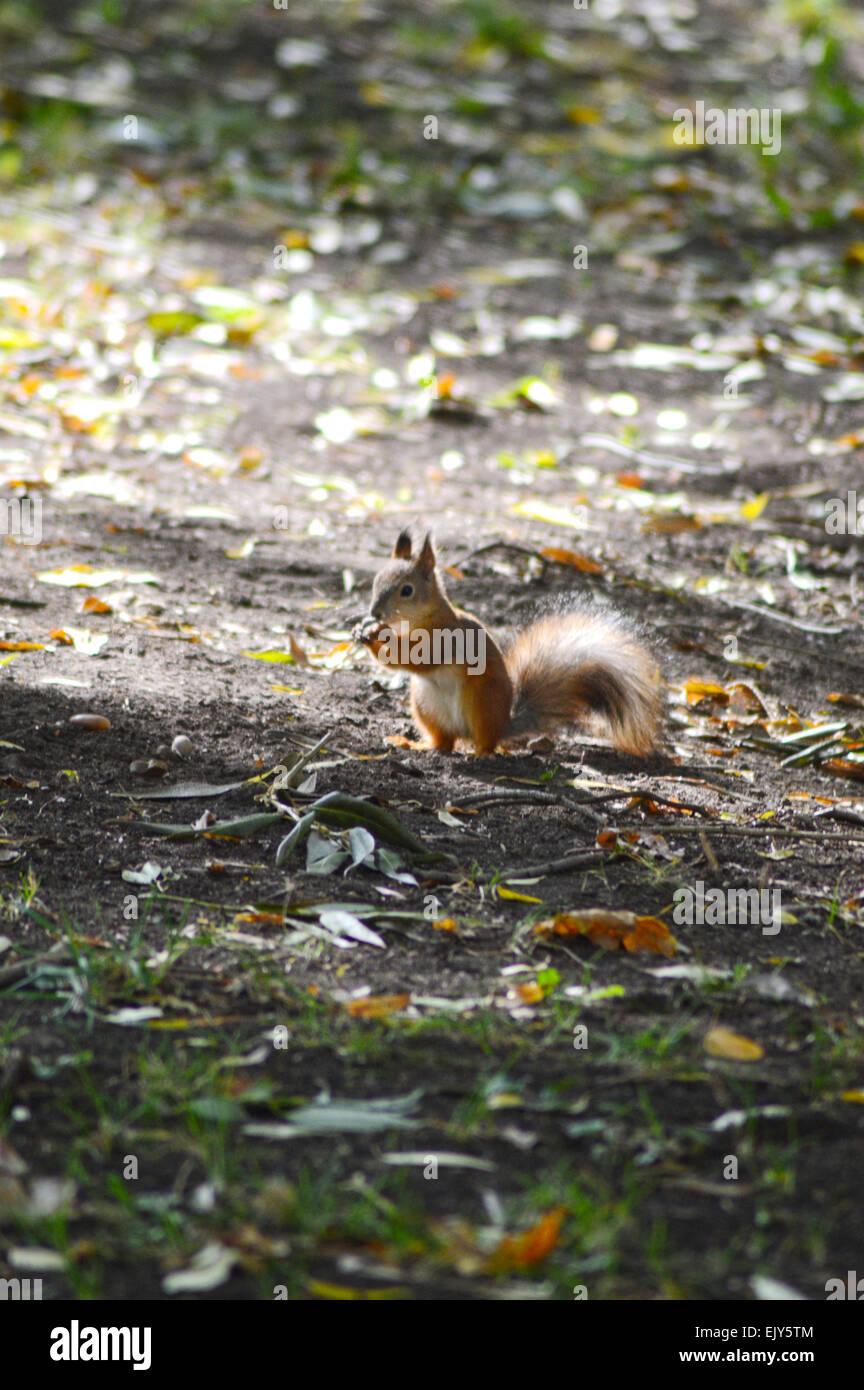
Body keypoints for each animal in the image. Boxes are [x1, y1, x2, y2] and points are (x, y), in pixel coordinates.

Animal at [355, 528, 666, 761]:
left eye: (406, 590)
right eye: (376, 580)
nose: (375, 613)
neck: (416, 620)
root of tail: (504, 723)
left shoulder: (444, 639)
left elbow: (417, 658)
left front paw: (377, 634)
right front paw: (364, 629)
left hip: (482, 702)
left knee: (485, 741)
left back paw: (480, 753)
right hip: (424, 705)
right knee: (443, 743)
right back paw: (415, 744)